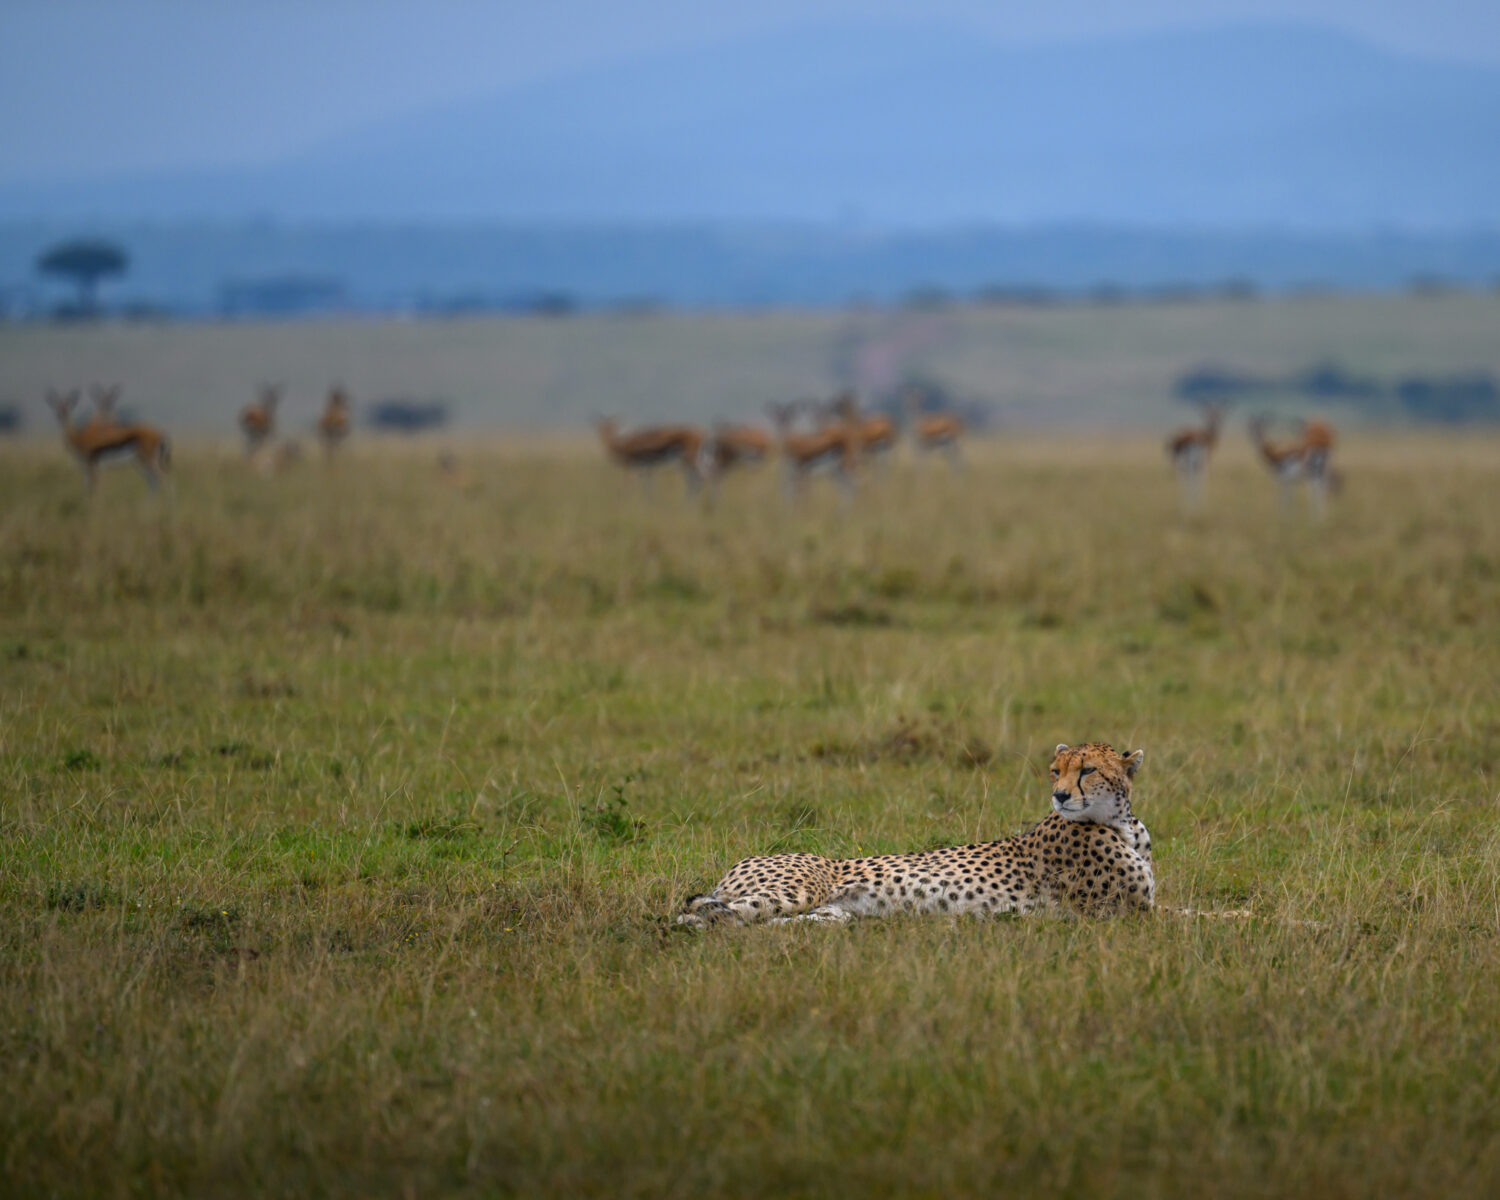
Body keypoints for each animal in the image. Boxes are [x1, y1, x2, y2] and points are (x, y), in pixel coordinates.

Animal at [676, 741, 1152, 926]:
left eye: (1087, 770)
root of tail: (741, 861)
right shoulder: (1132, 913)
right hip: (794, 890)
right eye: (1056, 771)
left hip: (828, 914)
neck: (1122, 823)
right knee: (698, 915)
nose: (1059, 795)